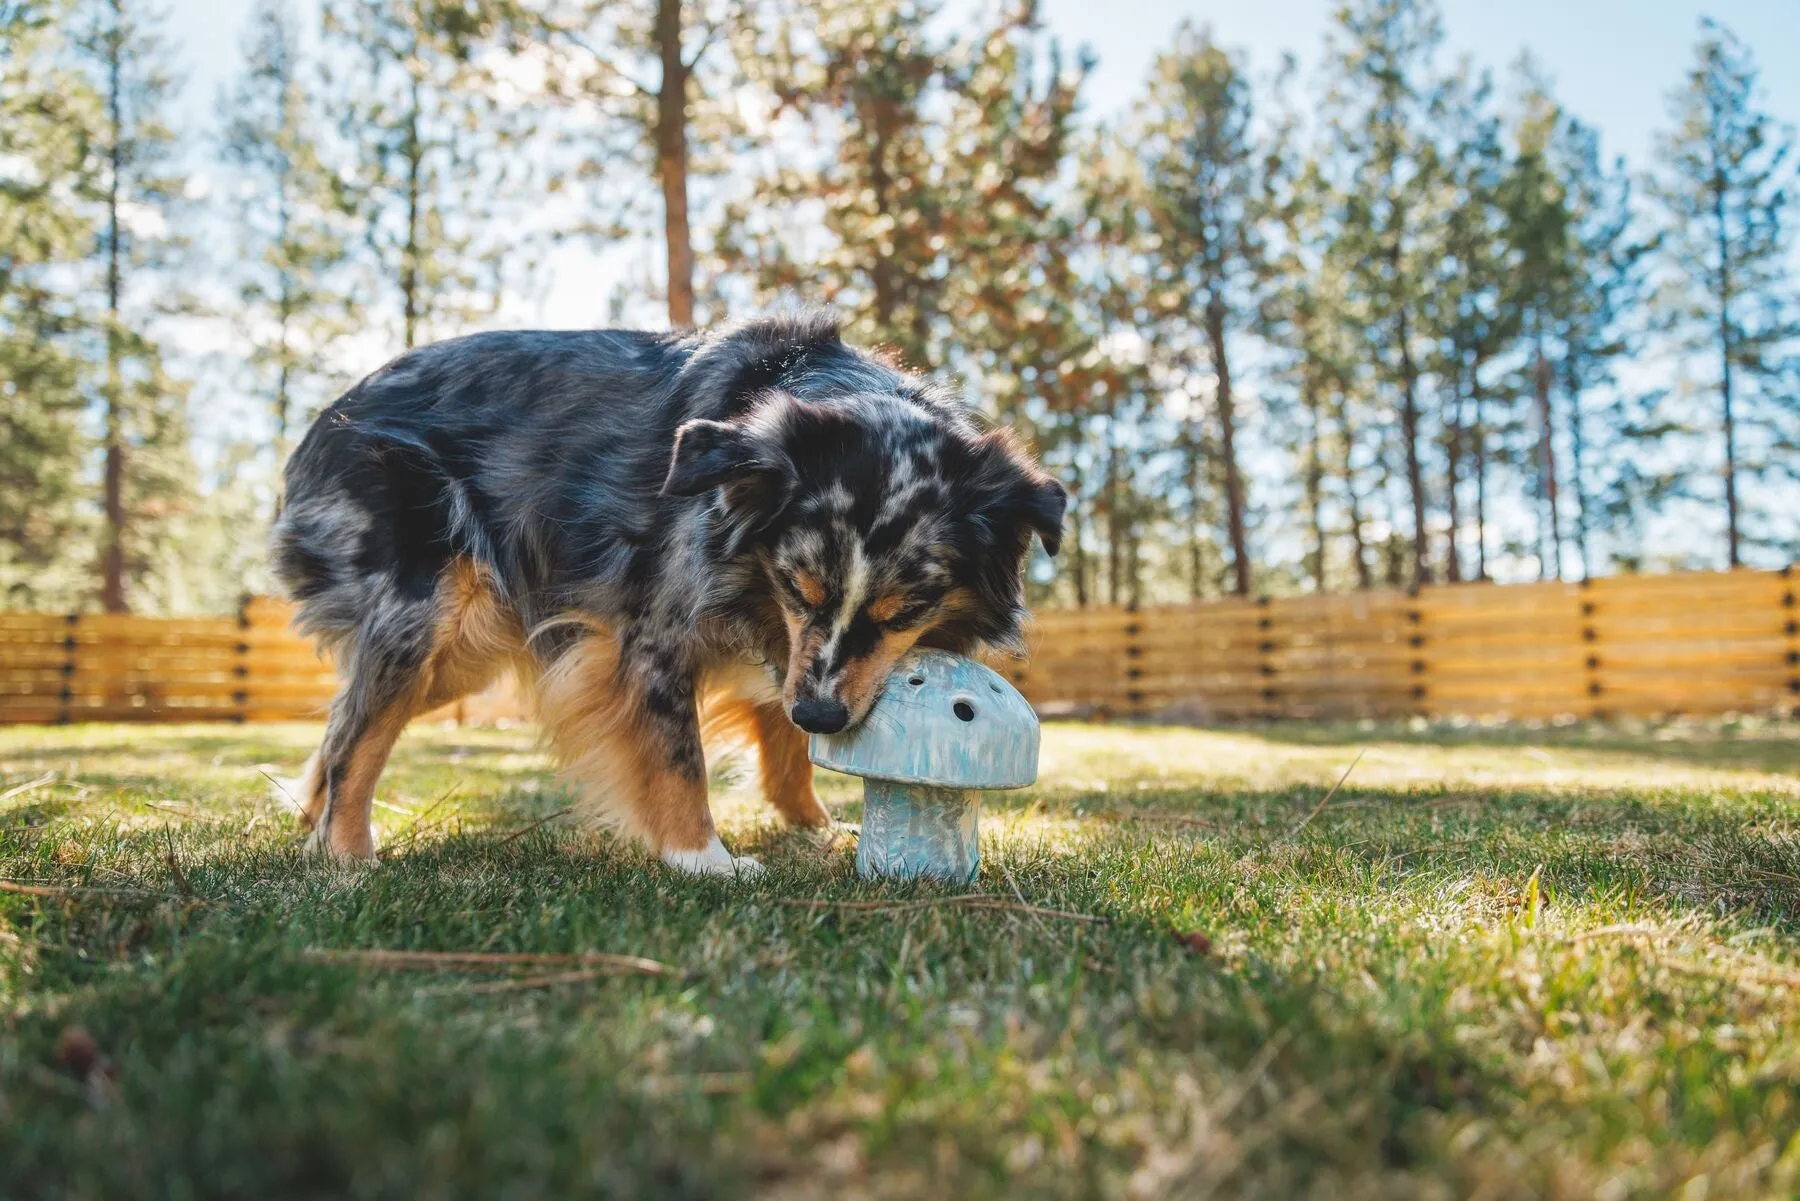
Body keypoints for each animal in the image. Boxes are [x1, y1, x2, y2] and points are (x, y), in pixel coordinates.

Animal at [271, 309, 1058, 875]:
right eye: (796, 585)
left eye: (907, 611)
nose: (825, 716)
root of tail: (324, 420)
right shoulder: (652, 633)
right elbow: (680, 756)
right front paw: (704, 859)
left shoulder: (792, 651)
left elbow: (783, 730)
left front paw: (817, 828)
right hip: (429, 611)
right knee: (357, 735)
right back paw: (347, 855)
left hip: (464, 651)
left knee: (344, 722)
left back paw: (314, 820)